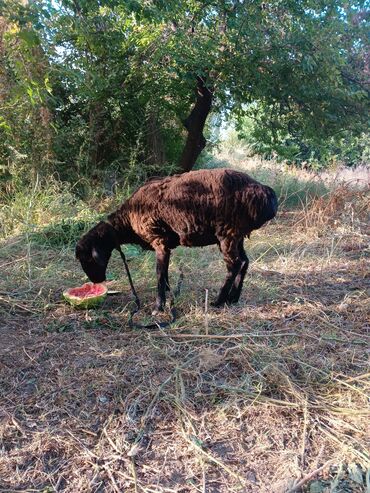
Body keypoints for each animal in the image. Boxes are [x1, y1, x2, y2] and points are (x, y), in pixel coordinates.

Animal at [76, 167, 278, 310]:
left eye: (87, 258)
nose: (96, 282)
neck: (127, 221)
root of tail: (265, 193)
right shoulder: (166, 245)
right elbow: (164, 272)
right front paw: (168, 293)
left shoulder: (159, 240)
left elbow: (158, 273)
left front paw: (159, 306)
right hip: (237, 235)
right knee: (244, 262)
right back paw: (233, 298)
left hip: (227, 233)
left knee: (234, 264)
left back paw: (219, 301)